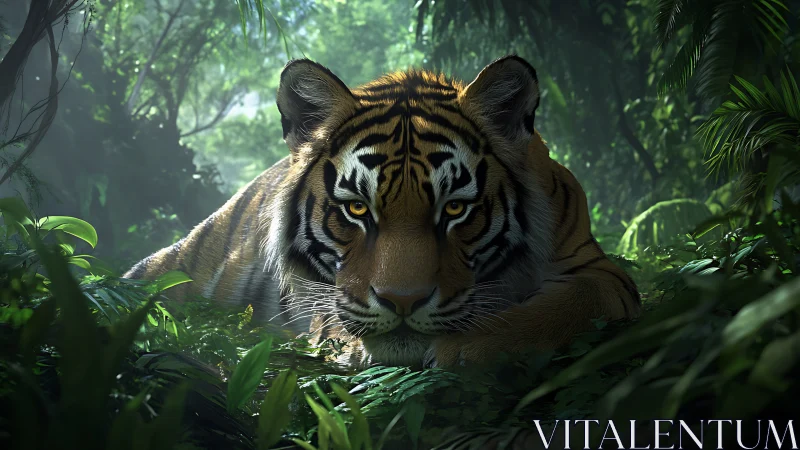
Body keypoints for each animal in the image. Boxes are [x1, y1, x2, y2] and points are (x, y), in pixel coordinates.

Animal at [124, 55, 642, 368]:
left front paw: (466, 347)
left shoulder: (599, 271)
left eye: (455, 208)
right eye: (357, 207)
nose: (403, 302)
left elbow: (558, 309)